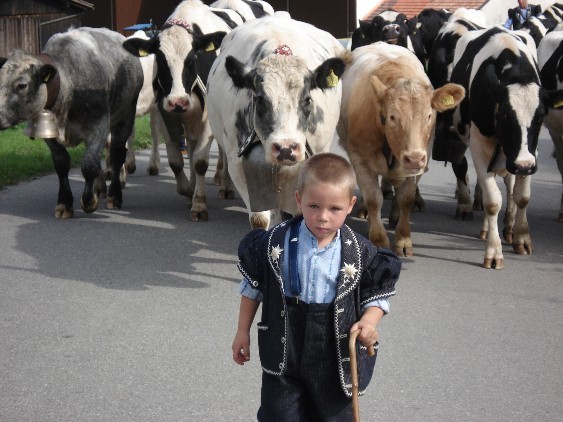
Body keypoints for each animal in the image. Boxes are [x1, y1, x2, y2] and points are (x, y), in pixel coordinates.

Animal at [0, 27, 143, 218]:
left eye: (21, 85)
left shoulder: (99, 126)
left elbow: (88, 165)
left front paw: (88, 202)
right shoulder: (49, 134)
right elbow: (62, 164)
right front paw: (64, 203)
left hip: (126, 115)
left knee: (117, 154)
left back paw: (114, 195)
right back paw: (99, 189)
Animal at [123, 0, 234, 223]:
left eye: (191, 59)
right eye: (160, 60)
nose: (178, 101)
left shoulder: (207, 119)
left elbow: (200, 161)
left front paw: (199, 204)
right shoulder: (166, 114)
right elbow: (176, 161)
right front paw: (189, 190)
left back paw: (226, 185)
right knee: (190, 147)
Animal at [338, 41, 464, 256]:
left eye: (429, 116)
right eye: (392, 117)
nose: (413, 158)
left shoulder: (420, 160)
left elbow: (406, 199)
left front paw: (403, 239)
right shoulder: (360, 157)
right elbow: (373, 198)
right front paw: (379, 238)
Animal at [452, 26, 563, 268]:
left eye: (540, 116)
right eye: (504, 115)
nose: (523, 166)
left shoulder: (530, 153)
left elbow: (522, 196)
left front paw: (522, 238)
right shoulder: (479, 146)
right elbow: (492, 200)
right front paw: (494, 251)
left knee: (510, 185)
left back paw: (509, 227)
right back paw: (487, 228)